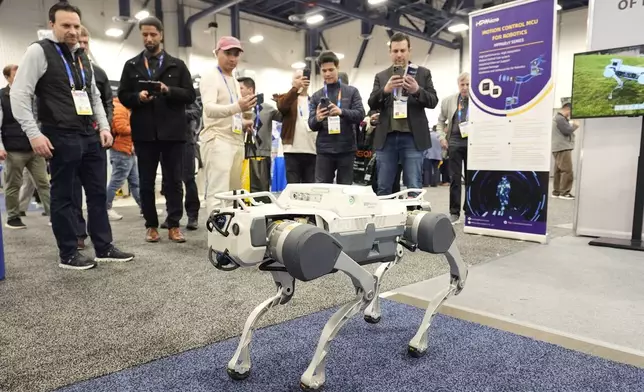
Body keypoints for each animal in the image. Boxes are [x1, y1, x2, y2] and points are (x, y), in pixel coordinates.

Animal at [206, 185, 468, 392]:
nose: (222, 251)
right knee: (388, 266)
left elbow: (362, 293)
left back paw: (422, 336)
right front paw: (239, 364)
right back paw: (376, 313)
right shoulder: (287, 268)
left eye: (235, 229)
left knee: (456, 269)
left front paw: (313, 377)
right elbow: (271, 304)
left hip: (428, 230)